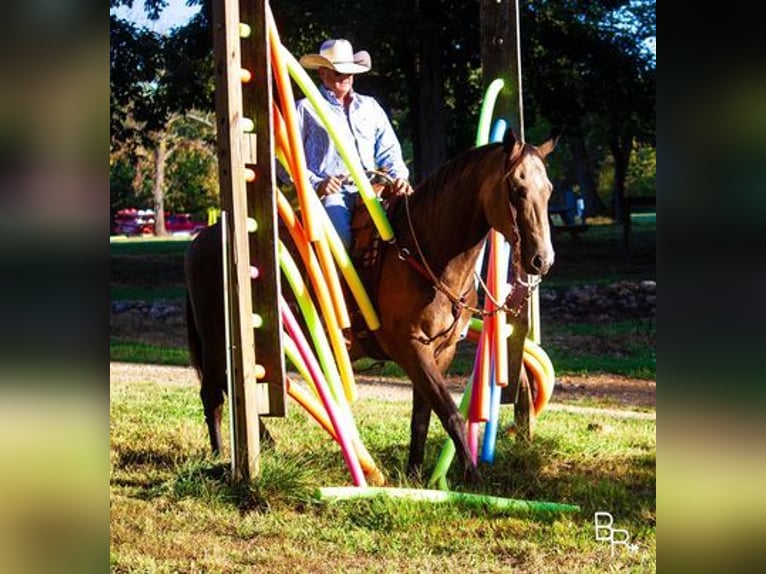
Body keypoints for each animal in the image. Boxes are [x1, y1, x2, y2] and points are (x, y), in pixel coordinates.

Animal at [186, 129, 560, 482]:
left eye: (549, 190)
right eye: (516, 188)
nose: (542, 260)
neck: (427, 252)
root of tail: (205, 237)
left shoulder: (441, 350)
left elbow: (423, 415)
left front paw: (415, 474)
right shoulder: (410, 347)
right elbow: (450, 412)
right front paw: (473, 476)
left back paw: (263, 442)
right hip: (219, 341)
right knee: (215, 392)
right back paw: (223, 454)